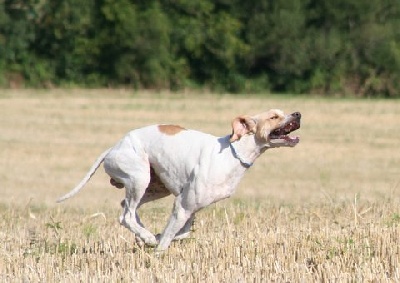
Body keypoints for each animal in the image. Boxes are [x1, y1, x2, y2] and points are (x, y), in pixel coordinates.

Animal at [56, 110, 300, 252]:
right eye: (274, 116)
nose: (297, 113)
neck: (233, 152)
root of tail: (113, 148)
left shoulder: (190, 209)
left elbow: (182, 233)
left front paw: (157, 236)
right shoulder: (183, 205)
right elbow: (168, 239)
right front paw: (157, 249)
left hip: (154, 187)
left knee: (126, 207)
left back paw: (143, 236)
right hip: (139, 178)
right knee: (126, 216)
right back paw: (146, 237)